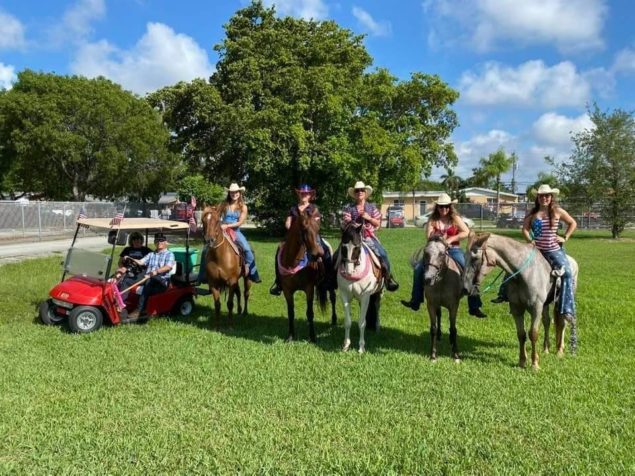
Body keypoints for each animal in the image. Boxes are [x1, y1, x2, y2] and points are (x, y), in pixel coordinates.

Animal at [278, 208, 328, 342]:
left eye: (318, 229)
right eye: (304, 229)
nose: (319, 253)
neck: (293, 263)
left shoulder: (309, 288)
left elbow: (310, 313)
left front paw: (312, 337)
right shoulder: (287, 290)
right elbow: (291, 312)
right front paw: (290, 336)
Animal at [338, 221, 382, 352]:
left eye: (357, 247)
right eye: (343, 247)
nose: (348, 271)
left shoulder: (365, 297)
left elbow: (362, 322)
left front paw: (361, 347)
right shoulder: (344, 295)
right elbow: (348, 322)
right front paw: (346, 345)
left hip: (378, 294)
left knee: (377, 307)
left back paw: (377, 327)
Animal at [464, 232, 580, 370]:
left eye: (475, 258)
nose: (466, 287)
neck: (525, 273)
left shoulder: (536, 308)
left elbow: (533, 334)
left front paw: (535, 364)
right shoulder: (516, 308)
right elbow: (521, 334)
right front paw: (522, 361)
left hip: (562, 300)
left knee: (562, 323)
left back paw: (559, 351)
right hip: (546, 304)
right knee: (547, 321)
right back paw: (546, 348)